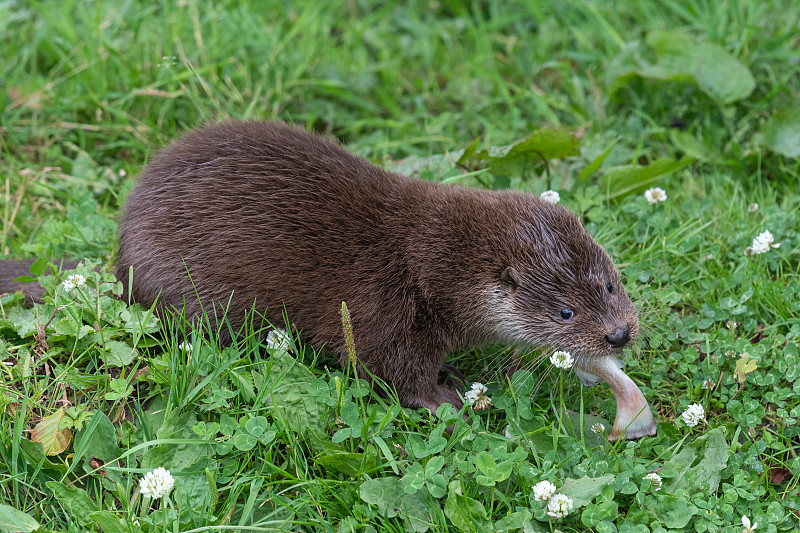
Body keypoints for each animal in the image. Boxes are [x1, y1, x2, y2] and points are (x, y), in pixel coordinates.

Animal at [4, 121, 656, 440]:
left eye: (608, 285)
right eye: (565, 313)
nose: (619, 335)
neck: (432, 265)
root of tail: (118, 259)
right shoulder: (386, 310)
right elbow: (387, 367)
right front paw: (448, 399)